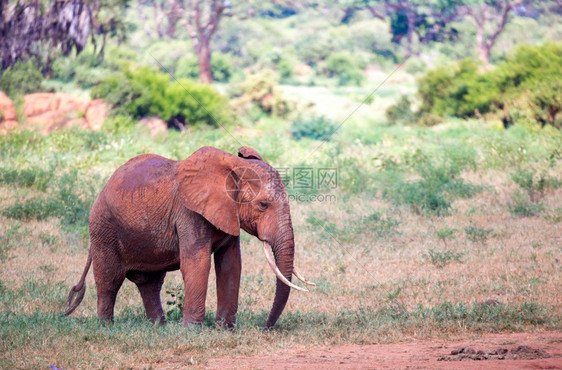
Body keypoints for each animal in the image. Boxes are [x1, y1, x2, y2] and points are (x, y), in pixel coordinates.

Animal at [64, 146, 316, 328]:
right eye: (263, 205)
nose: (265, 328)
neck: (231, 168)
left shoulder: (227, 213)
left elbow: (230, 265)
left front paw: (224, 329)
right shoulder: (189, 213)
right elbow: (198, 264)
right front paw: (193, 331)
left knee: (150, 283)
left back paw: (159, 328)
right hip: (103, 228)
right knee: (110, 279)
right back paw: (106, 327)